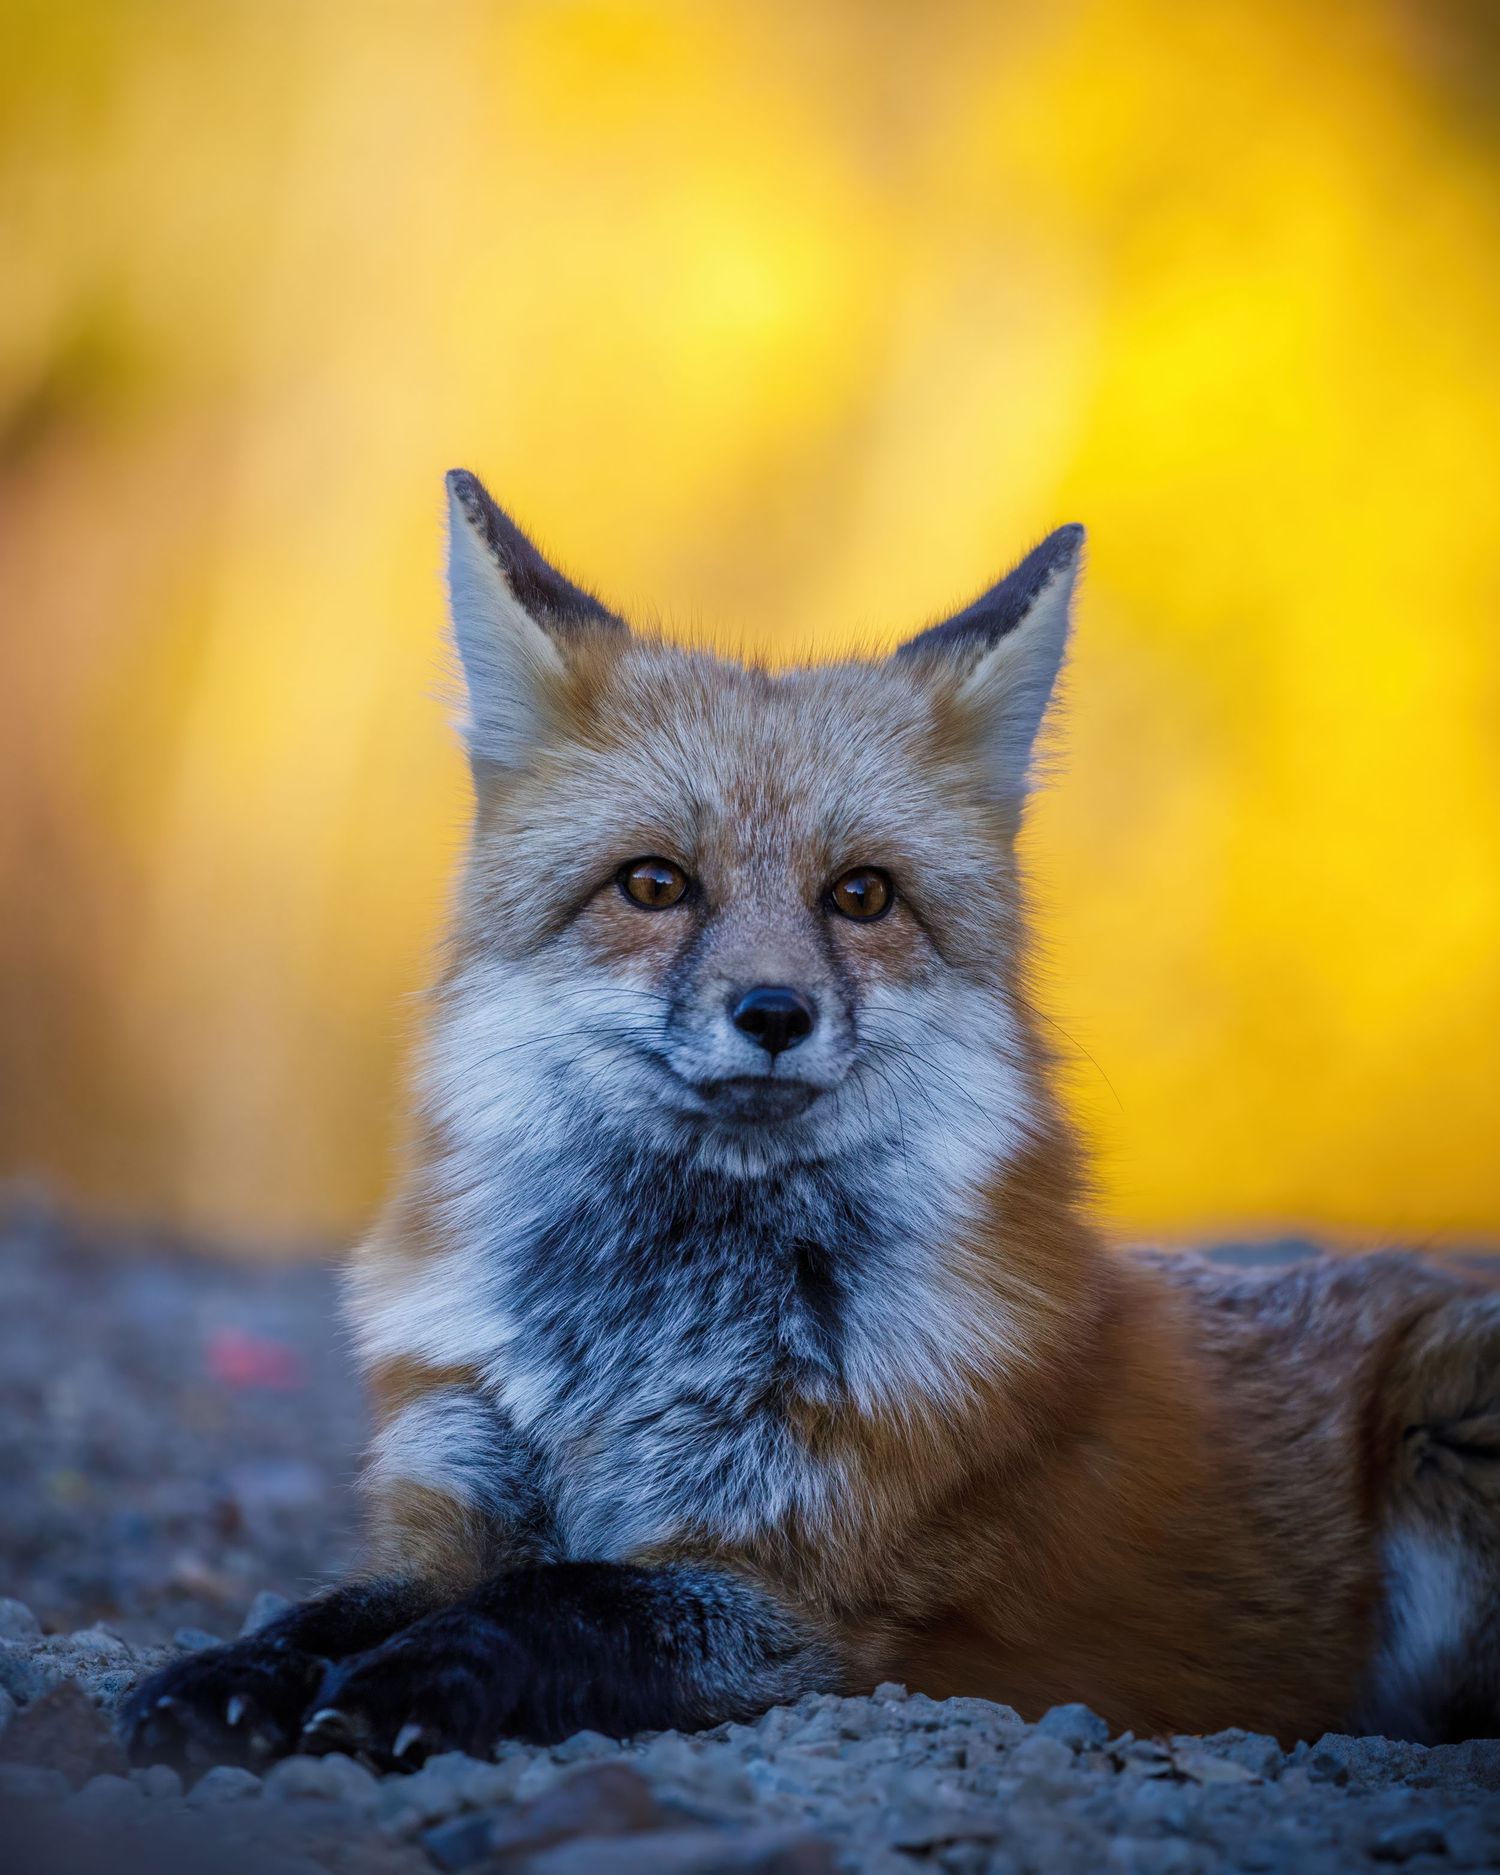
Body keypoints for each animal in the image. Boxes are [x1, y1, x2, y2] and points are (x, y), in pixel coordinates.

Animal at [124, 468, 1500, 1772]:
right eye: (654, 885)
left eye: (863, 896)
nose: (774, 1011)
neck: (634, 1356)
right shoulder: (456, 1490)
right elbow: (331, 1607)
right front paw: (229, 1676)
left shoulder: (802, 1605)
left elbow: (559, 1598)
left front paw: (407, 1684)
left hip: (1452, 1407)